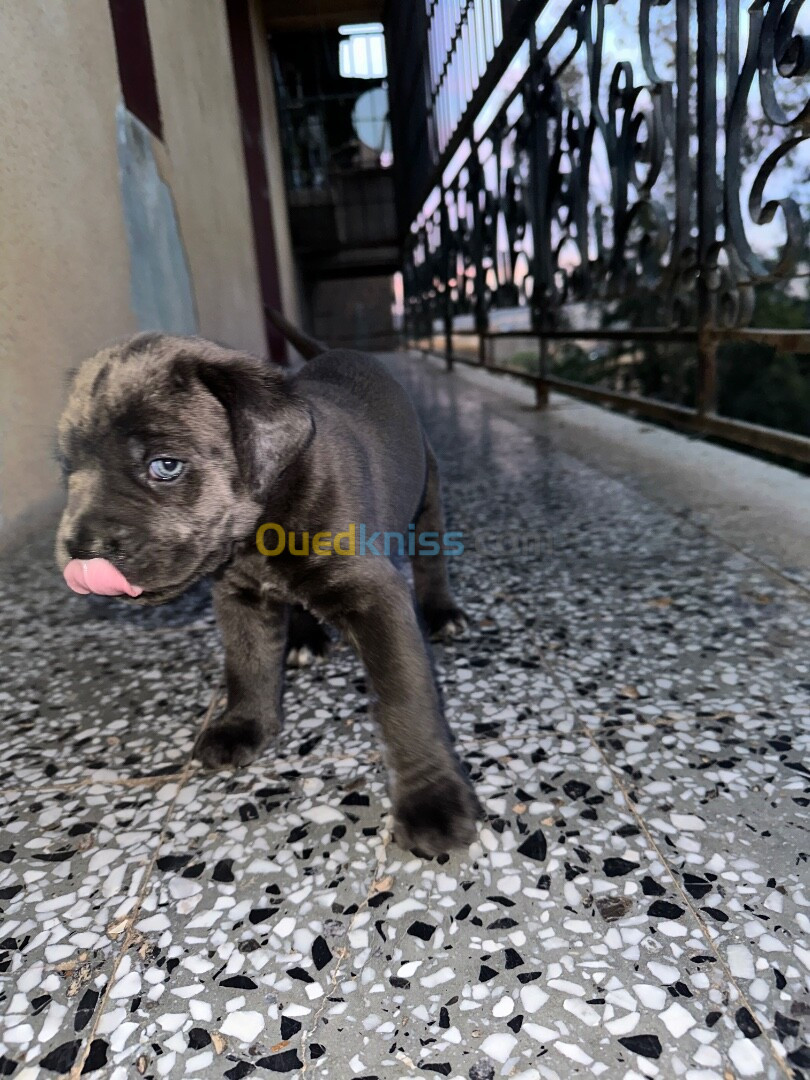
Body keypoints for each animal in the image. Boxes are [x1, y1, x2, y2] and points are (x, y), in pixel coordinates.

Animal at [55, 324, 481, 855]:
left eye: (166, 466)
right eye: (68, 469)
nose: (79, 551)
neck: (262, 524)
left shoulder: (376, 600)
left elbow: (405, 697)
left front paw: (431, 800)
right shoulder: (239, 596)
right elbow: (247, 664)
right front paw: (244, 726)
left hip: (428, 493)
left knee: (430, 558)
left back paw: (442, 610)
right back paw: (303, 639)